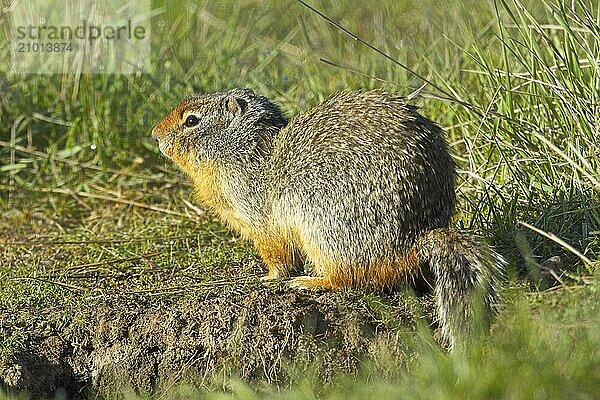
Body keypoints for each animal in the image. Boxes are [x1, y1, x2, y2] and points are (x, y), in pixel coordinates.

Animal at [152, 88, 504, 350]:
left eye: (192, 120)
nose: (155, 134)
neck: (241, 150)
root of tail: (415, 239)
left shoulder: (257, 215)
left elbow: (277, 253)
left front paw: (268, 277)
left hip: (325, 230)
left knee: (347, 279)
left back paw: (310, 281)